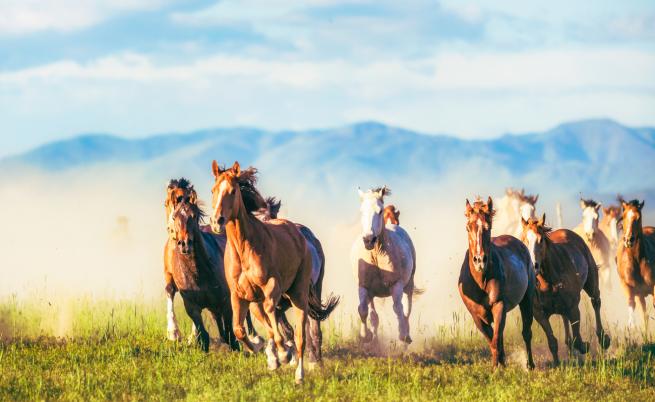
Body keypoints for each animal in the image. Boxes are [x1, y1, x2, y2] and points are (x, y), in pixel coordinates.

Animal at [210, 161, 340, 384]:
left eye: (233, 191)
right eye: (213, 190)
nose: (217, 221)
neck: (245, 250)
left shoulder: (271, 287)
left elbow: (277, 324)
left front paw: (283, 354)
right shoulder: (241, 295)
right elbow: (240, 329)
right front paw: (265, 353)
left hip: (301, 294)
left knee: (305, 333)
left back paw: (303, 371)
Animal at [352, 187, 418, 344]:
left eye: (380, 210)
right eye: (361, 211)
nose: (368, 239)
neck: (376, 255)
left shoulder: (396, 285)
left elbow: (398, 309)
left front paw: (402, 334)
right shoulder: (363, 286)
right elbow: (363, 310)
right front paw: (365, 335)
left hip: (409, 285)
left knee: (406, 310)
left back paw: (406, 336)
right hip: (371, 294)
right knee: (374, 316)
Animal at [458, 196, 536, 370]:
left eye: (488, 227)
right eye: (467, 227)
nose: (479, 260)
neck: (481, 282)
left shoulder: (499, 306)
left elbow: (495, 340)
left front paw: (496, 369)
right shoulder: (476, 315)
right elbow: (492, 340)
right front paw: (499, 365)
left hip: (527, 300)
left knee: (526, 333)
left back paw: (530, 365)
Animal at [520, 215, 612, 362]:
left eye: (541, 240)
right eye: (524, 240)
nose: (533, 266)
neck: (548, 282)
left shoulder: (573, 308)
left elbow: (577, 339)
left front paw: (585, 346)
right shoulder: (539, 314)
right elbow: (552, 341)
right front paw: (557, 363)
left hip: (591, 283)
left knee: (596, 302)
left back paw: (603, 338)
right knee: (564, 318)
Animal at [616, 199, 652, 330]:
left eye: (638, 217)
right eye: (623, 216)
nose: (628, 240)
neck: (636, 260)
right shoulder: (628, 286)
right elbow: (631, 304)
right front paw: (631, 325)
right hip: (640, 295)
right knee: (644, 314)